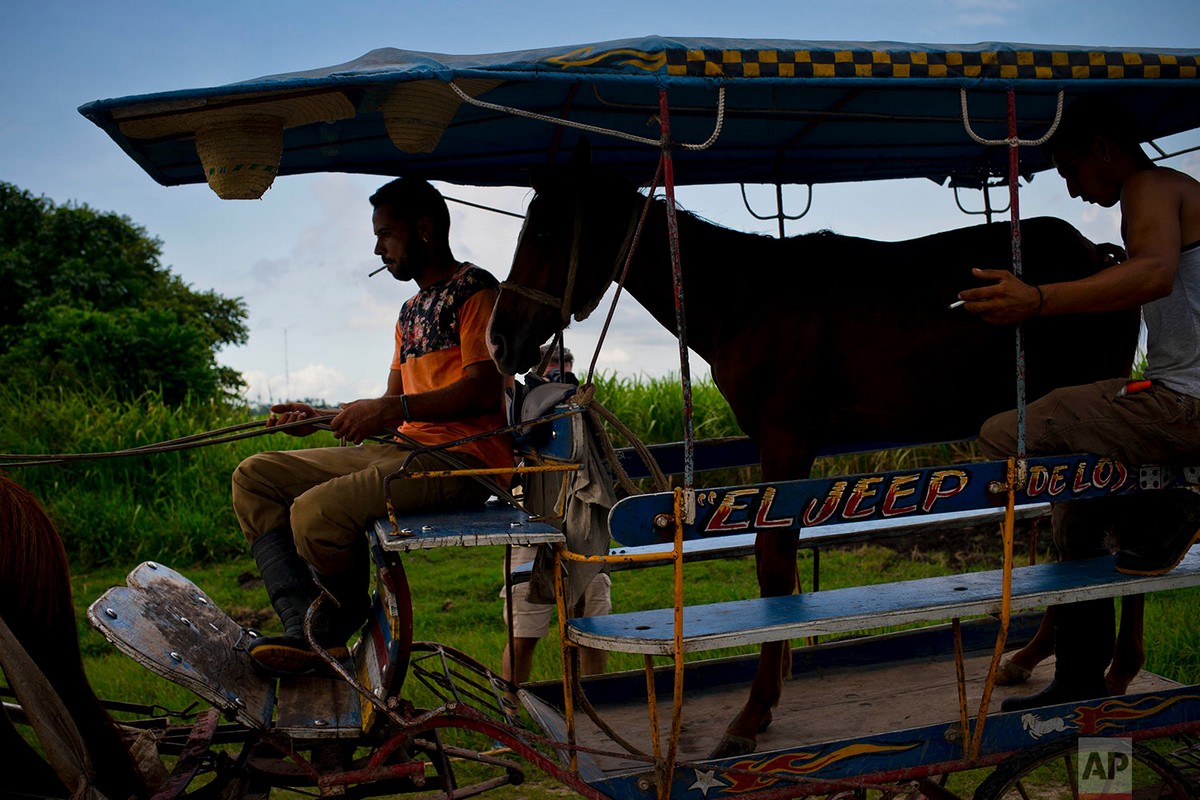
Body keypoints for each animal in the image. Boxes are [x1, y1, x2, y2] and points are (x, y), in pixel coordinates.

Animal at [487, 146, 1142, 762]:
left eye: (545, 232)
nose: (499, 340)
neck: (744, 298)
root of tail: (1100, 256)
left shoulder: (786, 440)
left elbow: (773, 561)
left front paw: (753, 713)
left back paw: (1109, 666)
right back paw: (1039, 657)